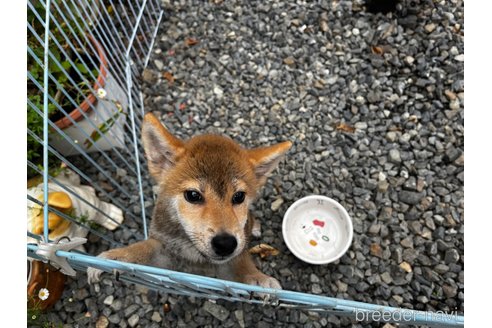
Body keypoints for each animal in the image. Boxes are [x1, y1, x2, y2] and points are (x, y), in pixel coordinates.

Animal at [87, 113, 292, 290]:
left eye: (239, 196)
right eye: (193, 195)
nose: (225, 243)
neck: (194, 255)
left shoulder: (233, 259)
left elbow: (243, 267)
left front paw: (258, 279)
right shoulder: (162, 246)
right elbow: (139, 249)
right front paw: (115, 257)